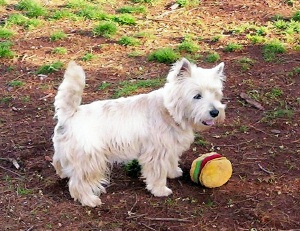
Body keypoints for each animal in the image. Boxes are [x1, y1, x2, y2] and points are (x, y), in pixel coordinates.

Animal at [52, 58, 225, 207]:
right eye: (197, 96)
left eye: (216, 94)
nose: (215, 112)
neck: (169, 111)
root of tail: (70, 115)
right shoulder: (156, 153)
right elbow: (157, 173)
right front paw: (160, 190)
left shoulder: (170, 147)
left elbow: (171, 161)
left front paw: (173, 172)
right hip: (90, 160)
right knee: (78, 183)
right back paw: (89, 200)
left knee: (58, 162)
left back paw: (63, 173)